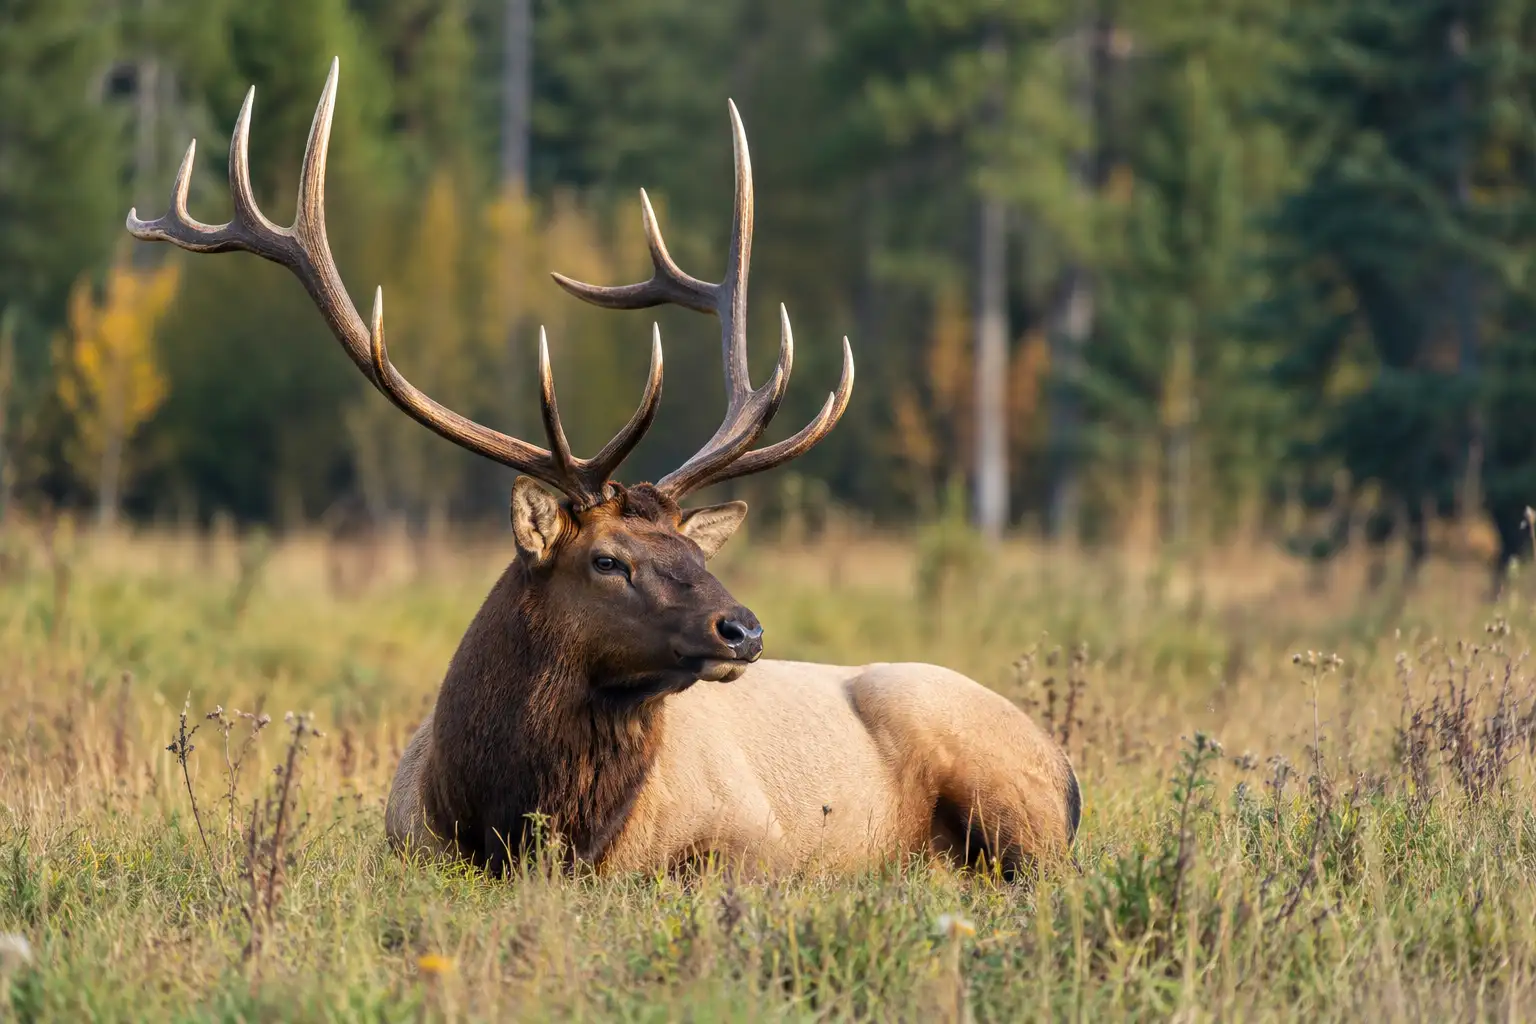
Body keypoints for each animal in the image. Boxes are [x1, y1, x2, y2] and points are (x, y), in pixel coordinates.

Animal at [128, 59, 1081, 880]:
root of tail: (1067, 767)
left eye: (698, 554)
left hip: (1007, 795)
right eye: (608, 560)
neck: (499, 816)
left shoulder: (753, 842)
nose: (745, 630)